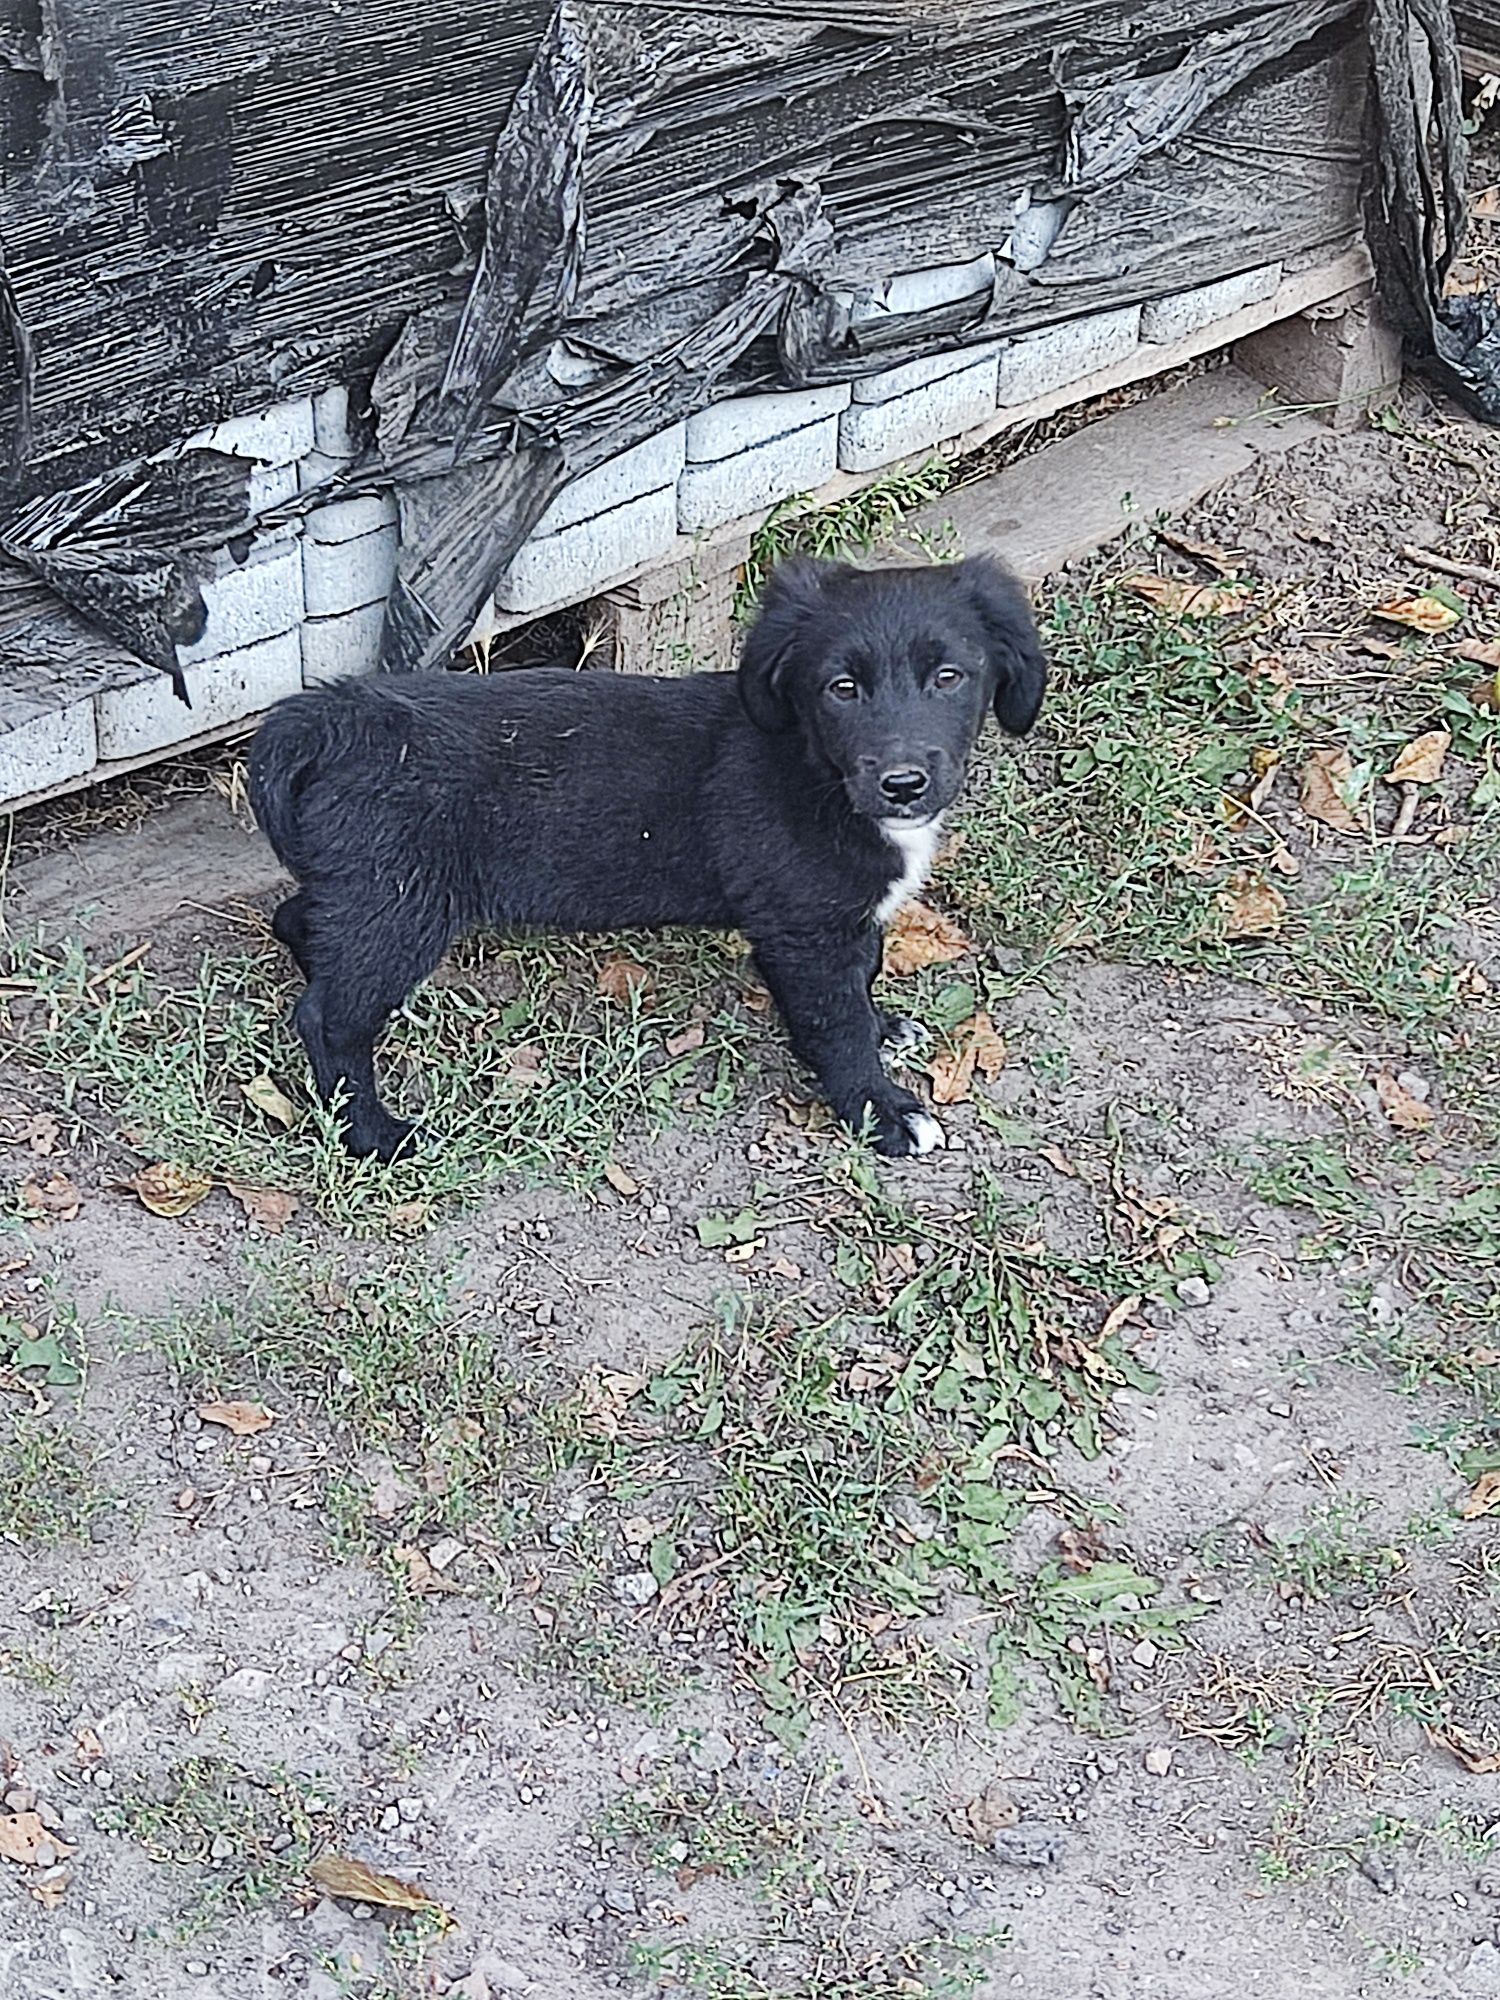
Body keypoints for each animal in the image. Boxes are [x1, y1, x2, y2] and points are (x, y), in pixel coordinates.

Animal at [250, 556, 1048, 1168]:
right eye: (841, 688)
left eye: (950, 676)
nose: (903, 783)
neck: (812, 767)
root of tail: (338, 716)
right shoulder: (805, 931)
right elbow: (836, 1021)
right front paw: (880, 1109)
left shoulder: (838, 923)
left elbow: (863, 975)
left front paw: (883, 1026)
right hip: (400, 904)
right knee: (327, 1019)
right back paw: (371, 1133)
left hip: (368, 890)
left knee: (302, 918)